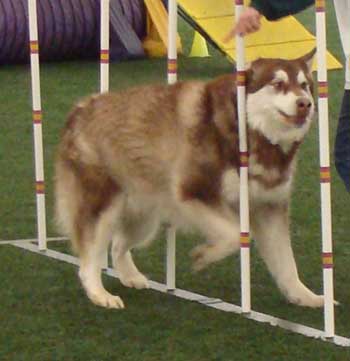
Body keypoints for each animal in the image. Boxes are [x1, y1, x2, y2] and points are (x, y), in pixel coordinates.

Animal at [54, 49, 320, 308]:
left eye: (304, 85)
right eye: (277, 83)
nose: (305, 104)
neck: (249, 129)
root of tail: (81, 107)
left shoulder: (270, 206)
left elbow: (286, 262)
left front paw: (304, 296)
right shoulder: (193, 190)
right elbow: (235, 234)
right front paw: (205, 255)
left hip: (144, 218)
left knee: (118, 244)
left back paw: (130, 276)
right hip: (103, 206)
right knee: (89, 257)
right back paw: (99, 294)